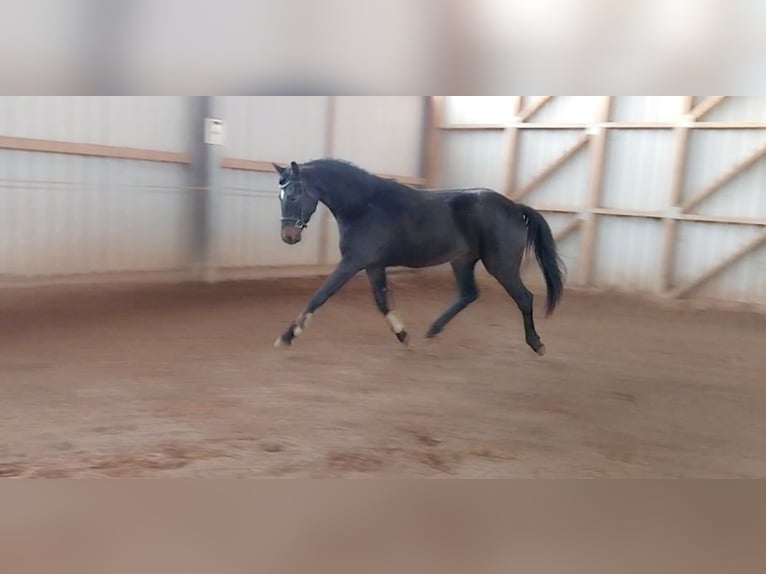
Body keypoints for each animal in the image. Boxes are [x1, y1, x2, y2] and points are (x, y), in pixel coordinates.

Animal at [272, 158, 565, 356]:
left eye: (295, 195)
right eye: (280, 196)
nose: (288, 236)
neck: (364, 205)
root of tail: (515, 207)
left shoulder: (352, 263)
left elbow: (319, 296)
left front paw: (287, 337)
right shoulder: (374, 265)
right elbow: (382, 303)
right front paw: (403, 334)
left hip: (501, 266)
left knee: (524, 298)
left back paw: (536, 343)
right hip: (462, 261)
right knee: (468, 295)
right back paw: (432, 330)